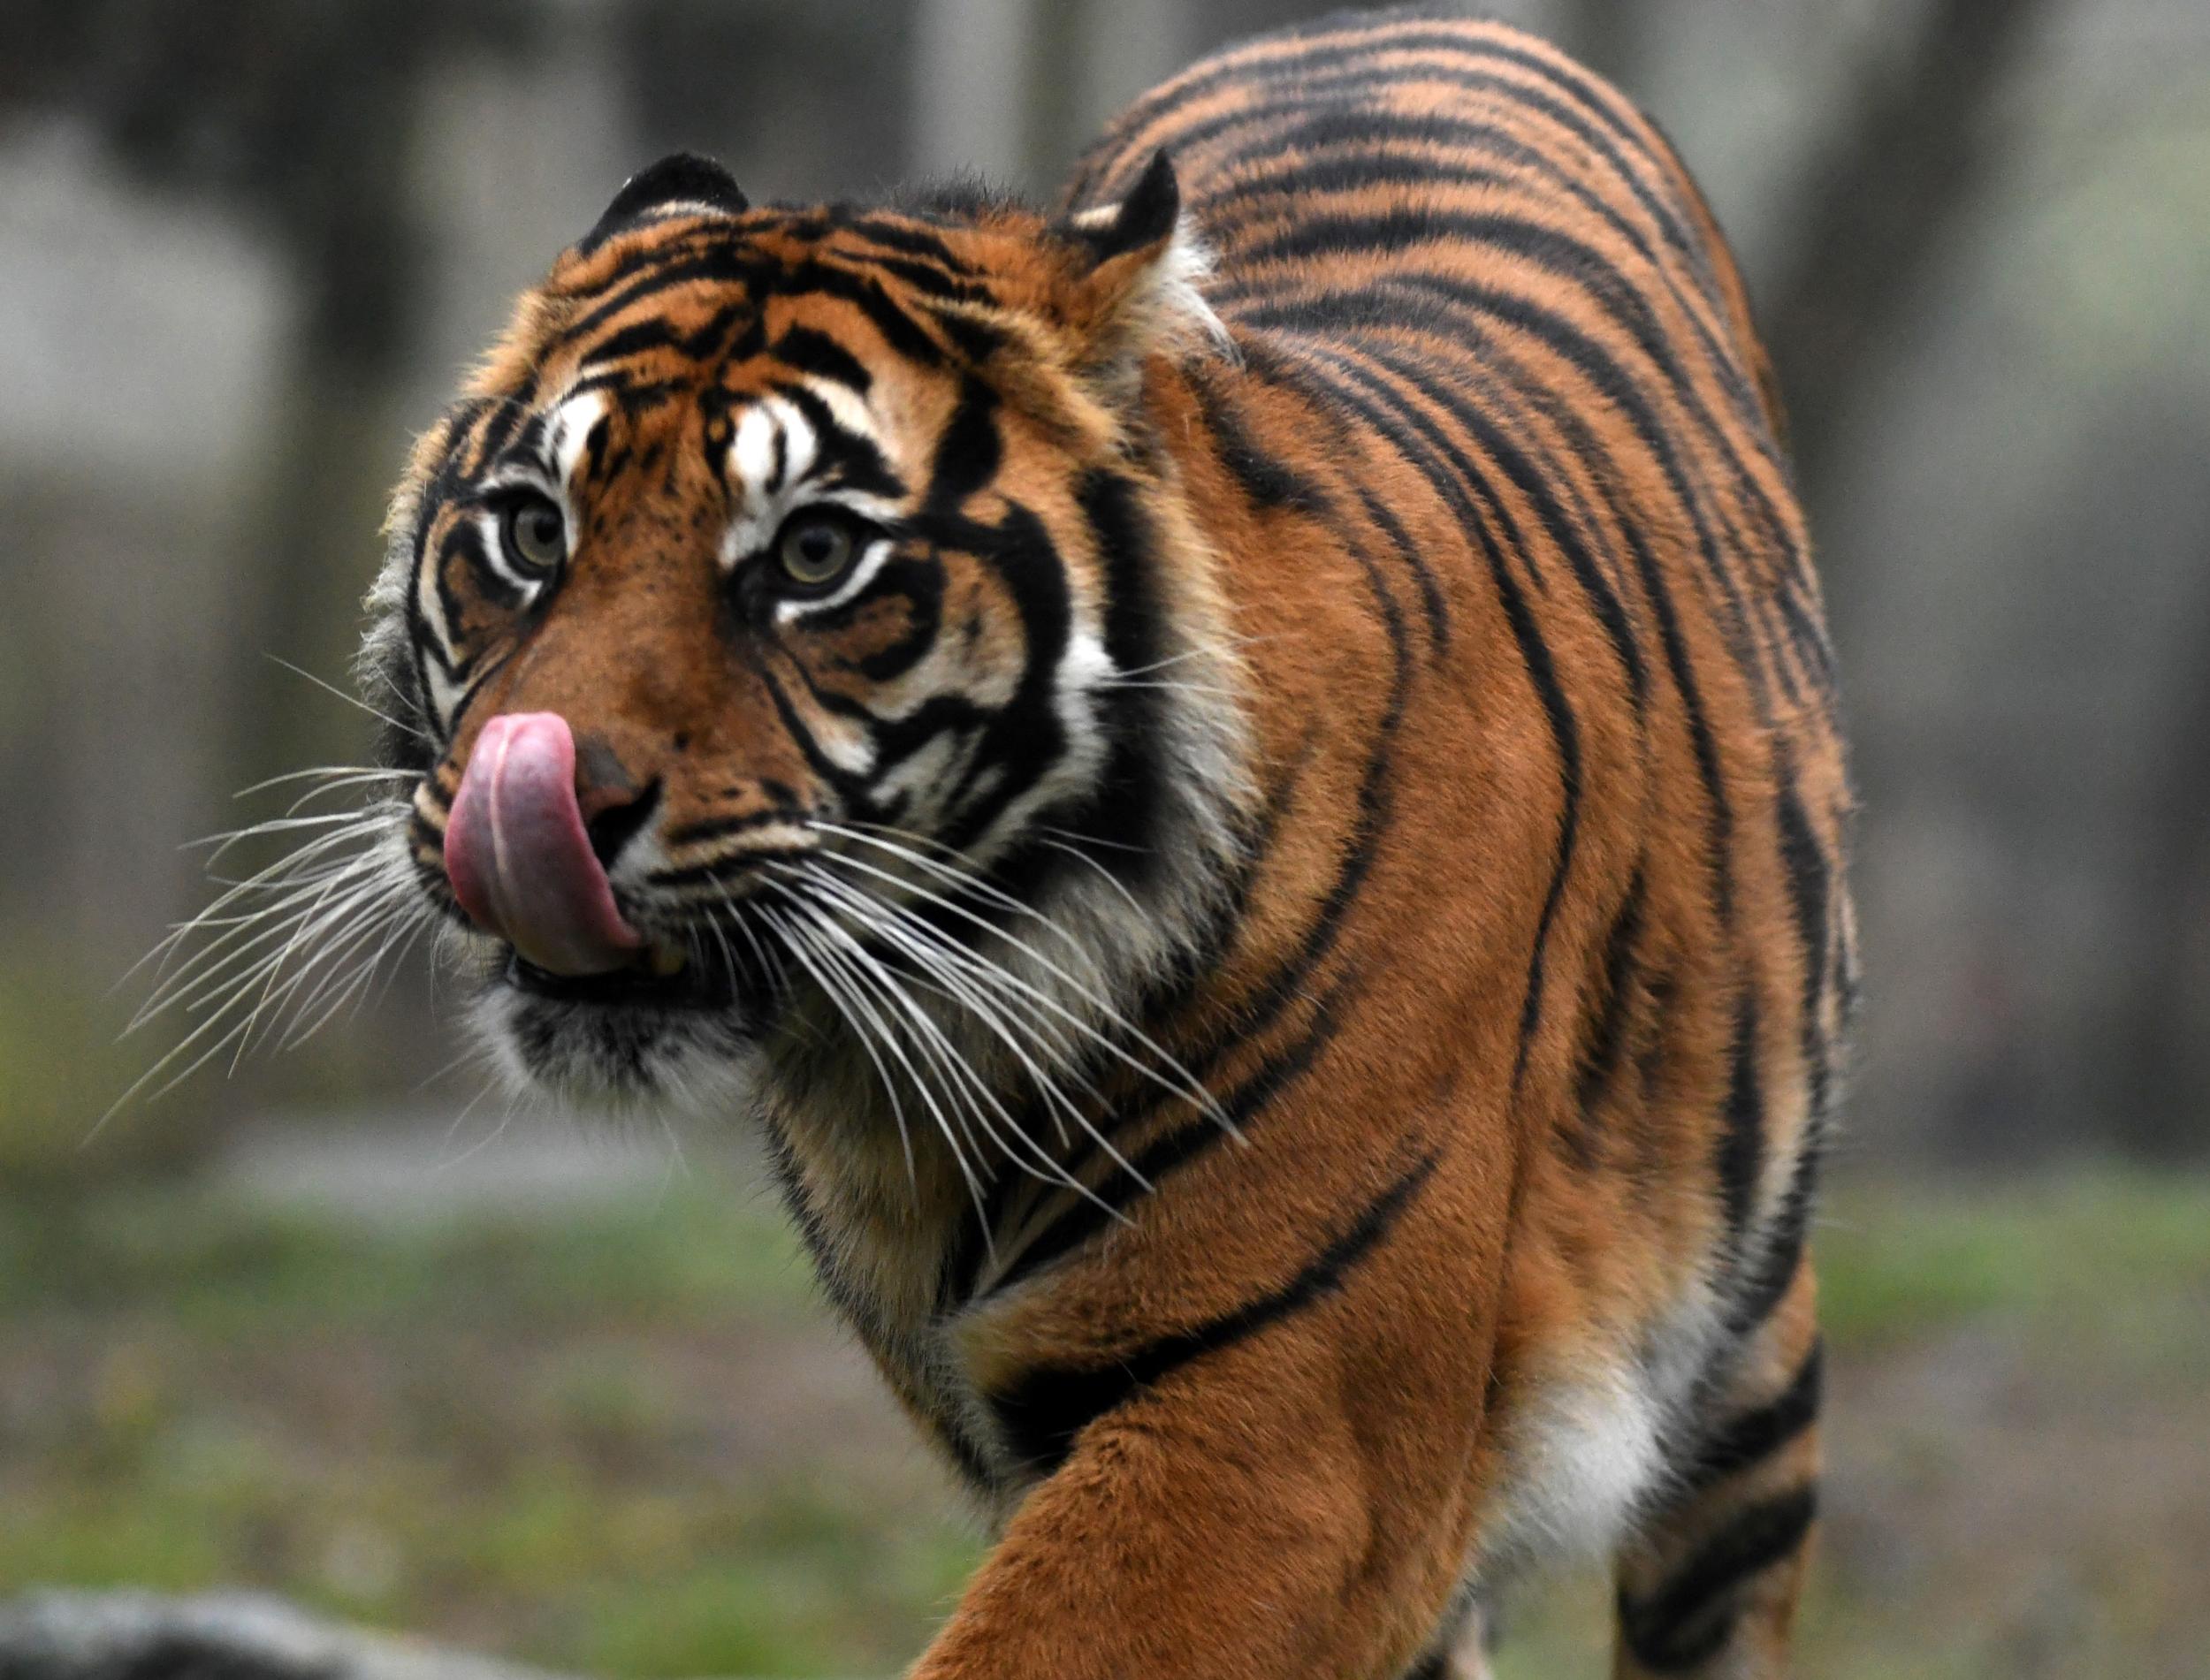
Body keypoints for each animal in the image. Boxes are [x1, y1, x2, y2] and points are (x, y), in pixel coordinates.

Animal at [156, 3, 1856, 1680]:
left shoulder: (1290, 1420)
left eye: (815, 557)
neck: (936, 1064)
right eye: (529, 533)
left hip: (1743, 1360)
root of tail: (1382, 25)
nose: (541, 807)